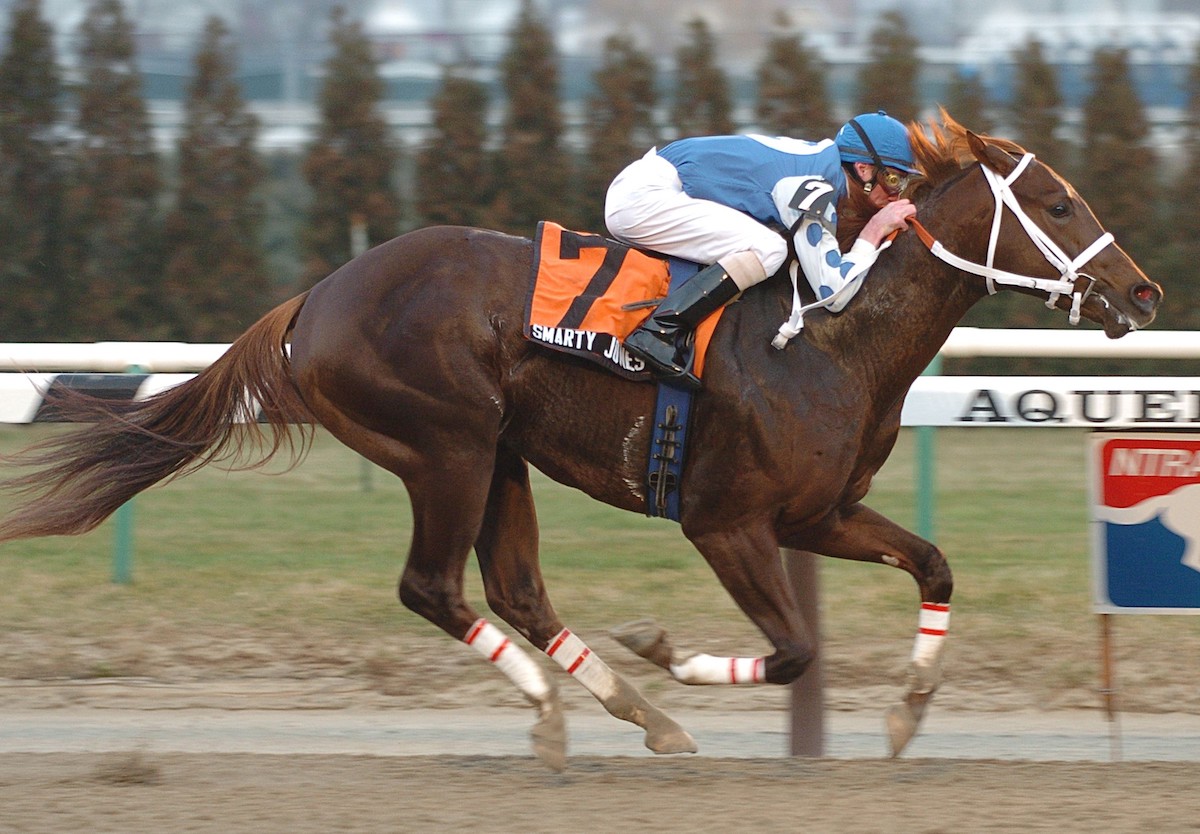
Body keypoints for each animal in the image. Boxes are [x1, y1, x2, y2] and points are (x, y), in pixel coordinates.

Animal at [0, 115, 1161, 768]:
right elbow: (793, 649)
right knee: (433, 588)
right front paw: (665, 648)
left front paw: (911, 714)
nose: (1144, 293)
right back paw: (564, 708)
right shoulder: (726, 521)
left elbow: (934, 565)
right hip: (447, 447)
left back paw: (631, 713)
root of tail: (315, 300)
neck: (835, 336)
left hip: (498, 455)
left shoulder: (819, 514)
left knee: (513, 589)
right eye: (1058, 202)